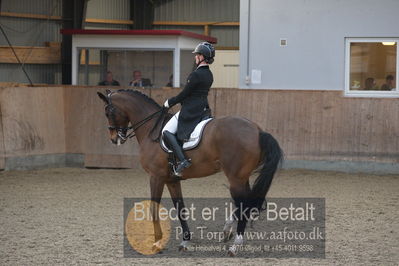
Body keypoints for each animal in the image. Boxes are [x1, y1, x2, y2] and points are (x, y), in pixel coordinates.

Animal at [98, 89, 282, 256]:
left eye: (108, 112)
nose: (114, 138)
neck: (152, 129)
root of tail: (257, 130)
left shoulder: (156, 177)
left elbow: (154, 208)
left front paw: (157, 243)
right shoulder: (172, 180)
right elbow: (181, 208)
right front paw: (185, 241)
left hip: (235, 179)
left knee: (244, 205)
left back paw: (234, 246)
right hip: (243, 177)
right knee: (247, 203)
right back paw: (227, 231)